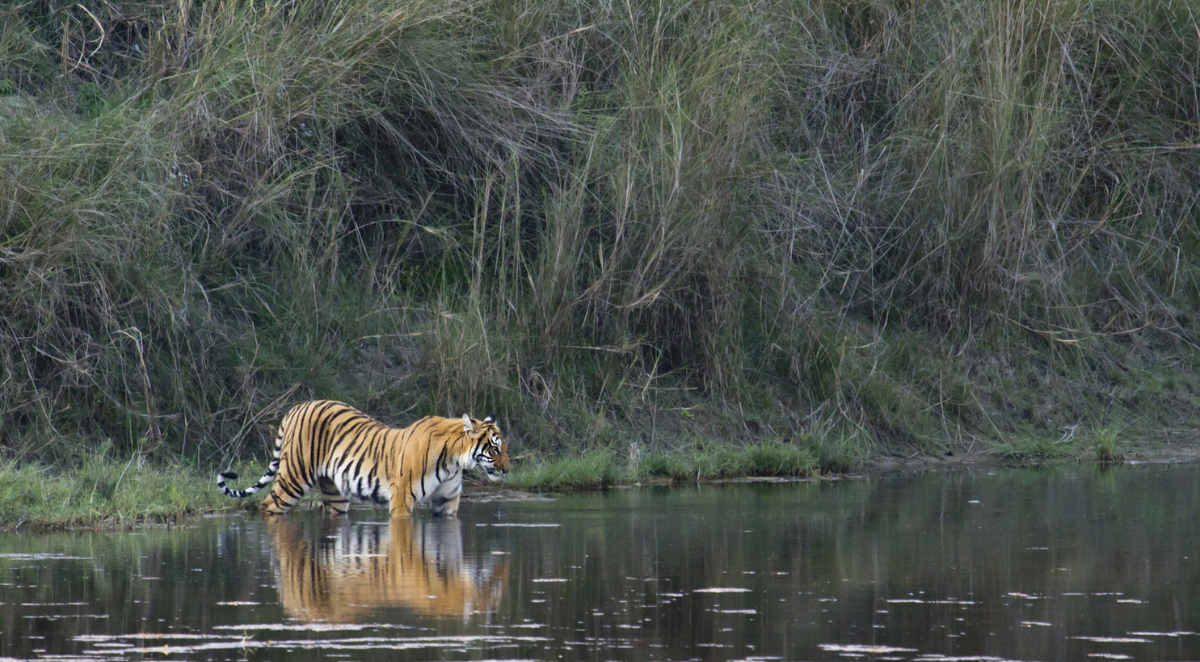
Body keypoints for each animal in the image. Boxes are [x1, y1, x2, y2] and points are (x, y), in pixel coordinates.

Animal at [216, 400, 510, 517]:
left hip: (334, 493)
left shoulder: (447, 502)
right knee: (267, 506)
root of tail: (297, 407)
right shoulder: (401, 499)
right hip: (294, 478)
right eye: (494, 449)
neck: (453, 463)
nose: (507, 470)